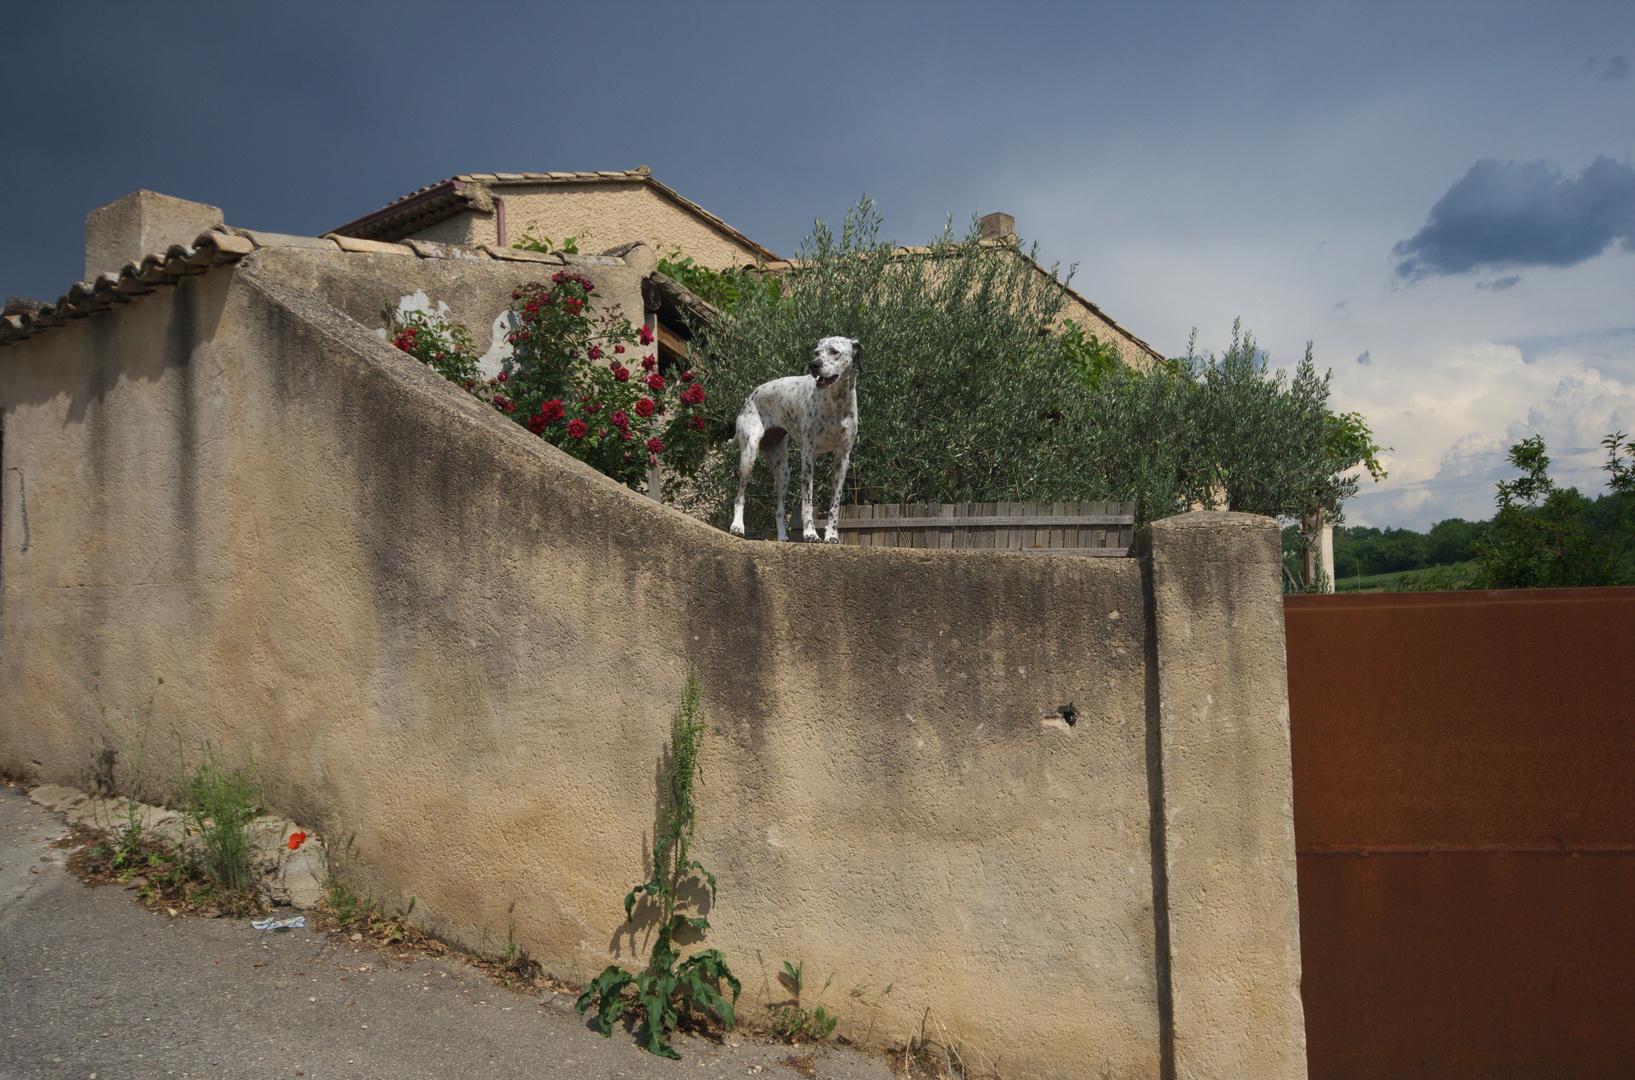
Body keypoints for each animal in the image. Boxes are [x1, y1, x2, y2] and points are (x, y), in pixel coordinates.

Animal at [725, 334, 856, 542]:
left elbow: (834, 505)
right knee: (740, 496)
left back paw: (782, 536)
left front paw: (831, 536)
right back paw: (737, 526)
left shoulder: (842, 458)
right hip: (749, 457)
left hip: (783, 472)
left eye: (834, 351)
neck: (836, 403)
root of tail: (751, 396)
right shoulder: (809, 455)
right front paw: (810, 534)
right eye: (816, 352)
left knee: (779, 510)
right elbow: (807, 501)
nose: (813, 364)